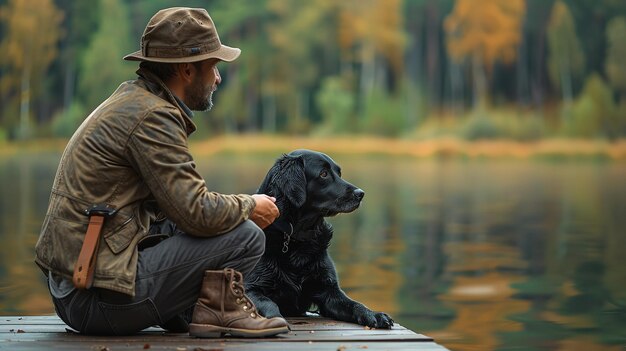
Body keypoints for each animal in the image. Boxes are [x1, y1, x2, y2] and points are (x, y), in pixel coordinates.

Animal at [246, 149, 392, 330]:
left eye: (339, 173)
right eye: (323, 174)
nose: (361, 194)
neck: (297, 238)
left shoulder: (329, 290)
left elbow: (354, 304)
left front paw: (374, 314)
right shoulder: (250, 288)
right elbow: (268, 303)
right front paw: (276, 319)